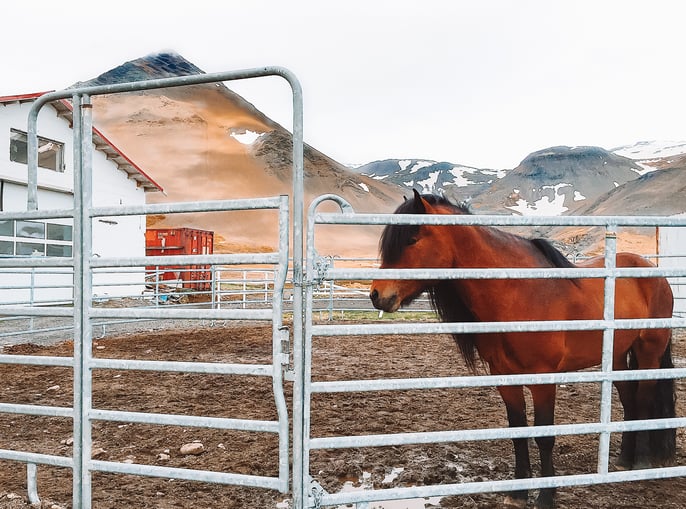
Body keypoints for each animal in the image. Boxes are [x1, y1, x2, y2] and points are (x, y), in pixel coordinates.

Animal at [370, 190, 676, 508]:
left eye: (412, 239)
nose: (377, 295)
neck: (520, 293)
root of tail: (651, 271)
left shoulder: (544, 380)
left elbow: (544, 436)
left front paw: (546, 495)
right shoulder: (505, 377)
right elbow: (518, 430)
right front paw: (517, 492)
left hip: (649, 351)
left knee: (644, 401)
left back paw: (641, 464)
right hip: (616, 356)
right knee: (630, 403)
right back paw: (623, 460)